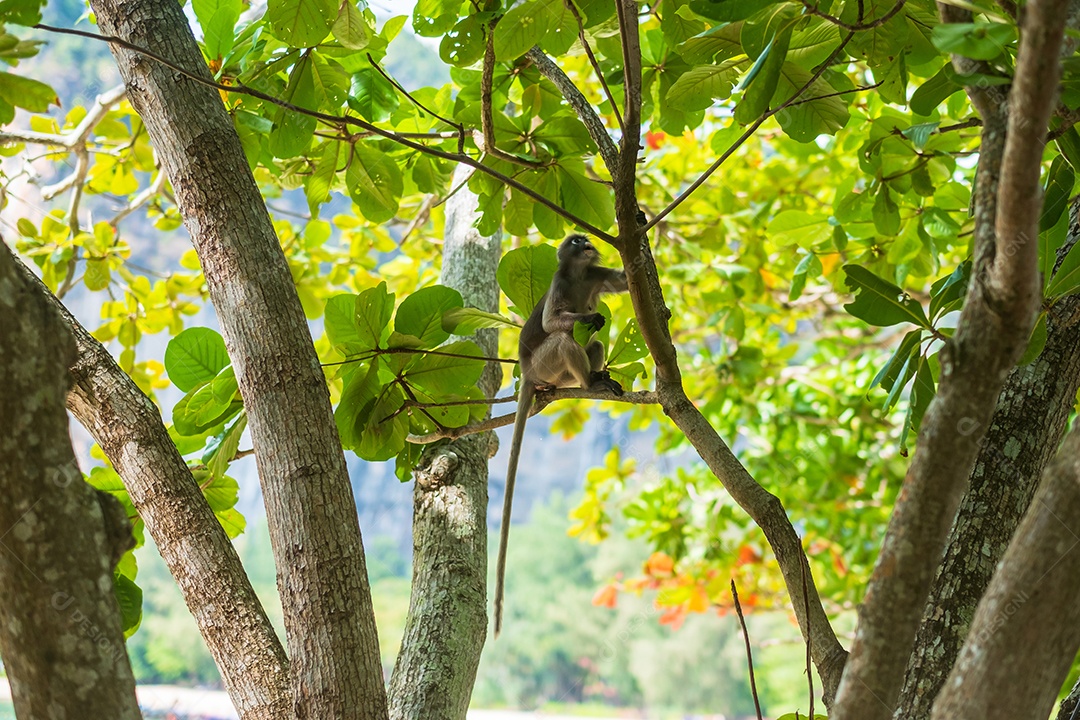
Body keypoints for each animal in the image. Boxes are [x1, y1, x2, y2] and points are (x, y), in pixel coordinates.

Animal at [494, 234, 628, 636]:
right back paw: (590, 379)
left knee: (593, 345)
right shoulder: (557, 282)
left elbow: (624, 282)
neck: (579, 274)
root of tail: (526, 371)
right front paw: (587, 316)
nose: (586, 242)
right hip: (546, 366)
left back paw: (596, 378)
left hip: (558, 375)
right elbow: (553, 321)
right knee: (565, 341)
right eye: (575, 240)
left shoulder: (596, 274)